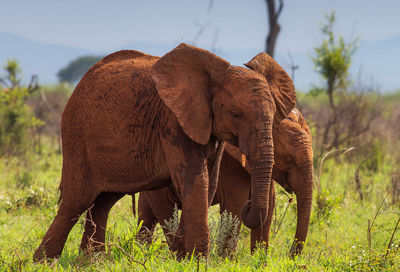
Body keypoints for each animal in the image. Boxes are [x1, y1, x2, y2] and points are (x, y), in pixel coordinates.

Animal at [137, 107, 312, 256]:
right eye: (289, 159)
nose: (290, 256)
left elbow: (269, 203)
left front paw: (259, 260)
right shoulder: (230, 166)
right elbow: (234, 206)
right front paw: (226, 261)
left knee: (146, 215)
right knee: (165, 211)